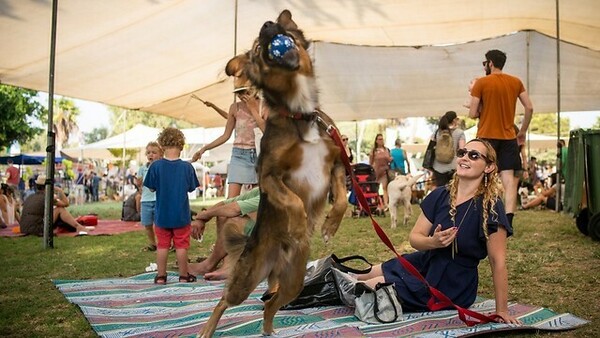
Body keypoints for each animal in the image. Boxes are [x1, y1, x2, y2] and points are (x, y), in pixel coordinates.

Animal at [197, 9, 346, 336]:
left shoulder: (337, 164)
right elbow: (294, 201)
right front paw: (300, 226)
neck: (299, 113)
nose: (269, 25)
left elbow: (341, 200)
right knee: (224, 300)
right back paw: (207, 329)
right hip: (248, 277)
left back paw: (268, 329)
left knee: (270, 304)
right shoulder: (269, 176)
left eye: (282, 31)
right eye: (256, 48)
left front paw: (329, 226)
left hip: (294, 281)